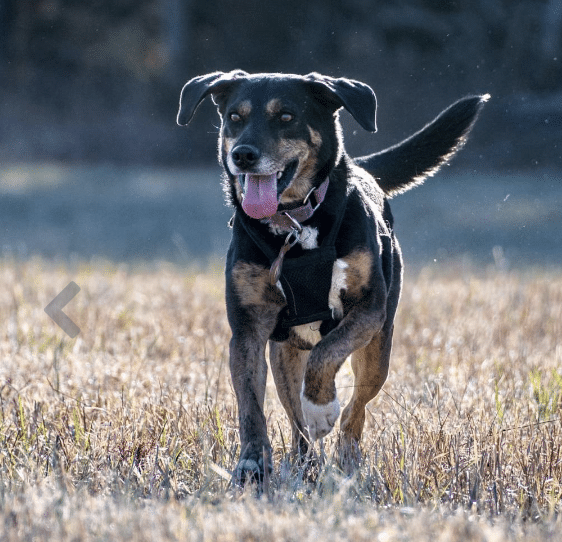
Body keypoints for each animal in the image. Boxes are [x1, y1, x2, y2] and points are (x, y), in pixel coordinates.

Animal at [176, 70, 486, 482]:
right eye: (234, 118)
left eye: (286, 116)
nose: (241, 155)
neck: (294, 223)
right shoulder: (247, 330)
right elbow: (249, 403)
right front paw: (252, 464)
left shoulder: (368, 310)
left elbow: (327, 355)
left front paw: (322, 409)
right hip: (284, 353)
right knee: (296, 421)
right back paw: (306, 464)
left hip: (378, 351)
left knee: (356, 409)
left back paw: (346, 458)